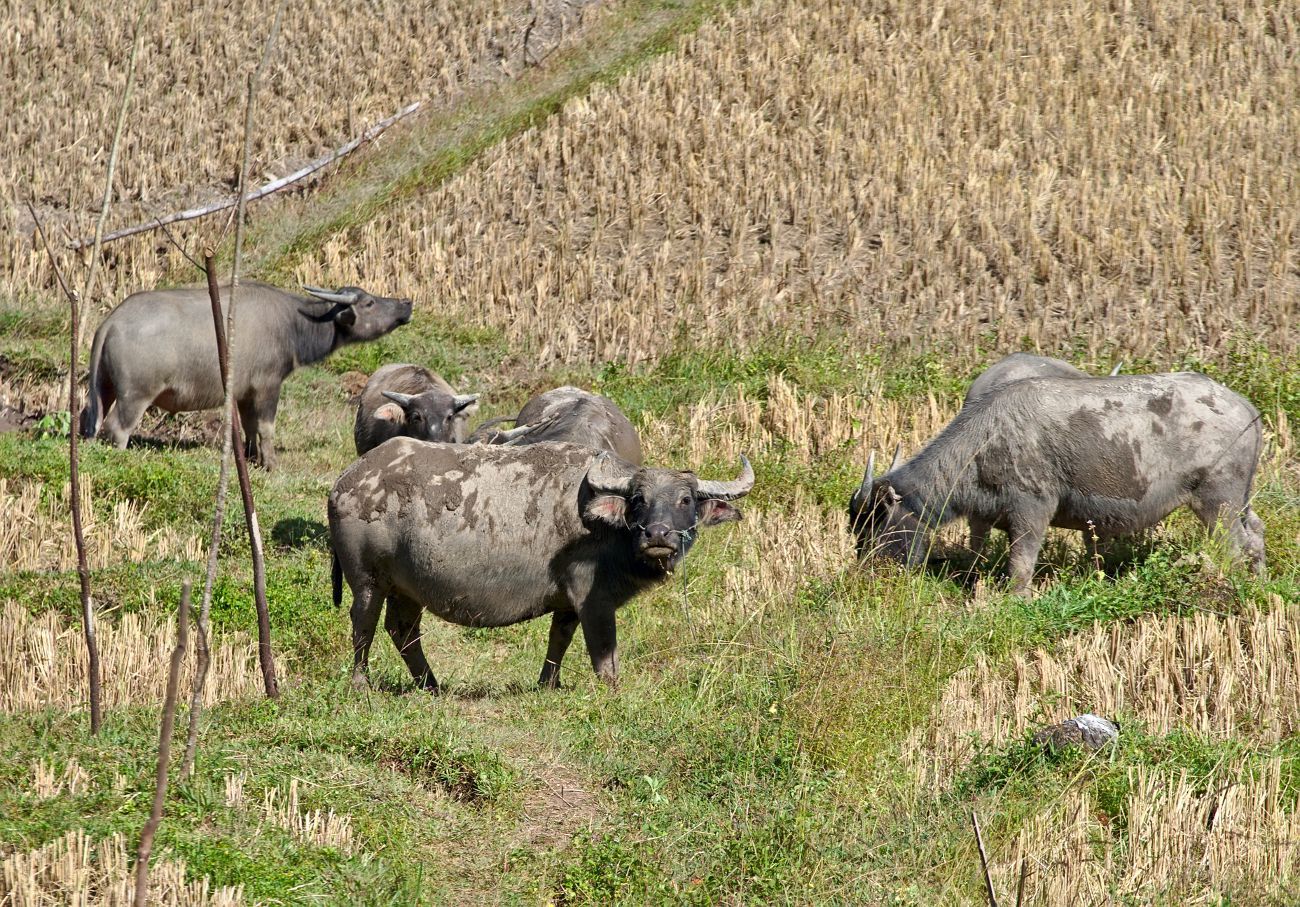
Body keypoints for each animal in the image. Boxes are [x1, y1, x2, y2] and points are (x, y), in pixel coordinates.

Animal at [79, 283, 410, 465]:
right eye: (369, 302)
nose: (406, 304)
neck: (291, 324)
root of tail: (112, 321)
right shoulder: (267, 386)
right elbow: (266, 427)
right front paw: (272, 463)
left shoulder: (244, 394)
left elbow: (250, 428)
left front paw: (253, 459)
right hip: (135, 395)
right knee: (117, 428)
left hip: (103, 388)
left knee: (89, 420)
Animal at [327, 439, 754, 686]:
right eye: (638, 500)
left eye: (686, 500)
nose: (658, 536)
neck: (605, 527)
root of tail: (347, 480)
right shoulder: (593, 600)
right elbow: (604, 654)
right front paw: (611, 691)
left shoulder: (567, 603)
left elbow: (558, 640)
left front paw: (548, 683)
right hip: (367, 580)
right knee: (363, 625)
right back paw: (361, 683)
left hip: (408, 588)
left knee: (403, 632)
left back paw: (430, 685)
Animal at [847, 371, 1263, 589]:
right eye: (856, 527)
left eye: (874, 522)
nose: (864, 574)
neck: (985, 441)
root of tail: (1247, 409)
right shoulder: (982, 515)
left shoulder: (1032, 511)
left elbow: (1021, 564)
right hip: (1241, 502)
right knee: (1256, 535)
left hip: (1218, 502)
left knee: (1235, 547)